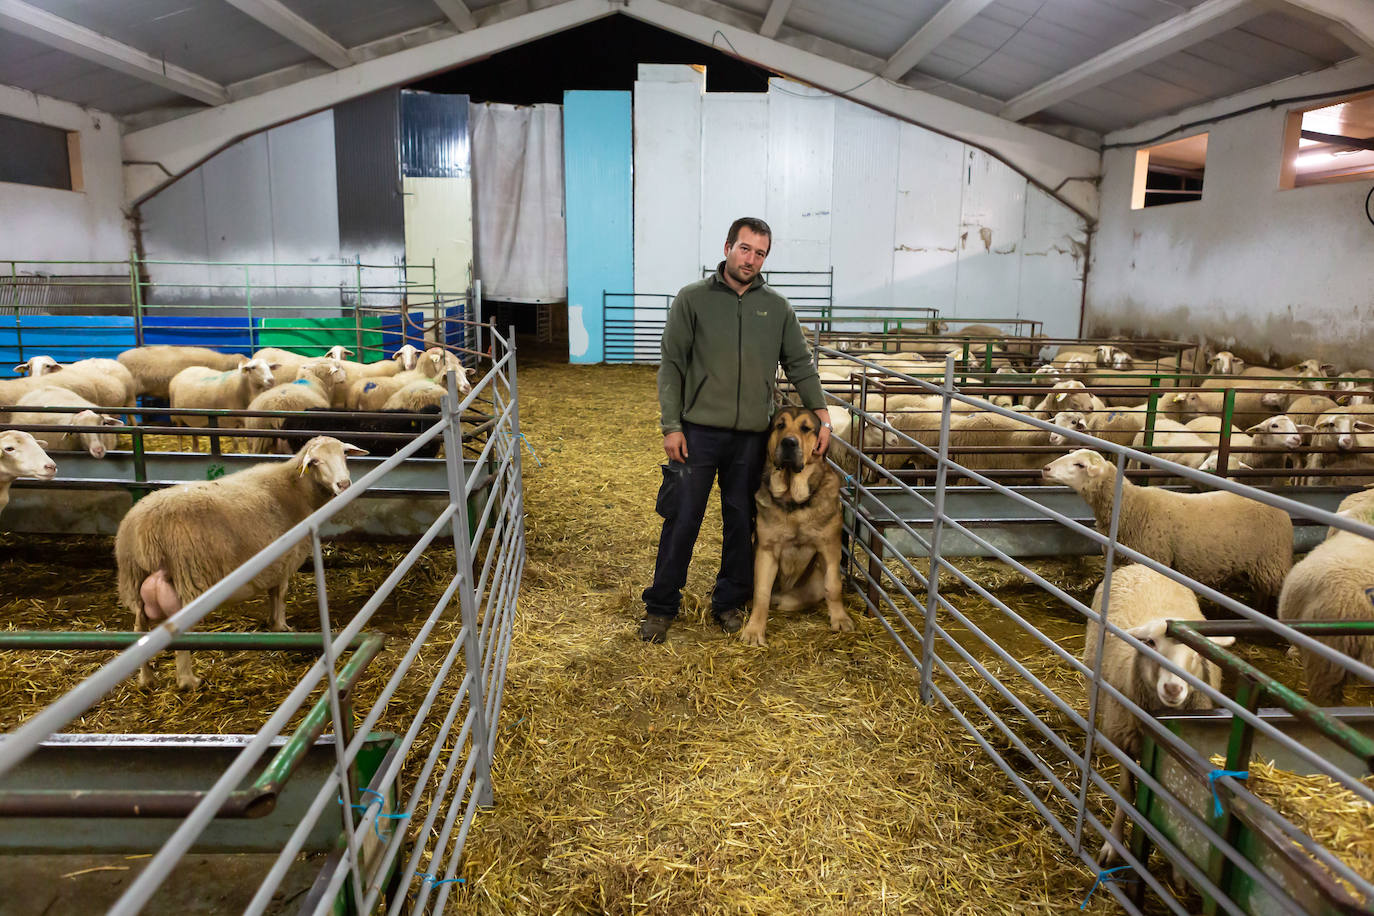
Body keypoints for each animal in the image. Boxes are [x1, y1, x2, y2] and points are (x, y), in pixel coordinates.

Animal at [115, 436, 368, 686]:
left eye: (344, 454)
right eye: (315, 461)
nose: (343, 484)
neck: (297, 488)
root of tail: (144, 531)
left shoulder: (272, 563)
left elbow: (273, 595)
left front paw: (272, 623)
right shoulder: (285, 559)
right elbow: (281, 595)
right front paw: (281, 625)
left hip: (134, 580)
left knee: (139, 629)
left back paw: (146, 678)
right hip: (188, 580)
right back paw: (188, 680)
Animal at [741, 403, 857, 648]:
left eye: (806, 428)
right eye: (780, 425)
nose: (789, 442)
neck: (792, 498)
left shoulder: (830, 548)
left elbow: (833, 586)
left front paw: (840, 618)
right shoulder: (766, 551)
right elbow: (762, 593)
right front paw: (755, 630)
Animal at [1082, 565, 1236, 867]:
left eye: (1195, 650)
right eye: (1151, 643)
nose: (1173, 688)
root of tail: (1141, 566)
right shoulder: (1124, 741)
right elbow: (1126, 793)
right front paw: (1113, 844)